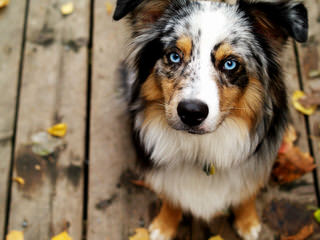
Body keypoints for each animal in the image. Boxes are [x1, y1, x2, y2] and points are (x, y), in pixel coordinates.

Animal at [112, 0, 308, 238]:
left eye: (230, 64)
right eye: (174, 56)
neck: (201, 149)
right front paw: (164, 225)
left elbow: (247, 192)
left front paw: (248, 221)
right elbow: (171, 197)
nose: (191, 112)